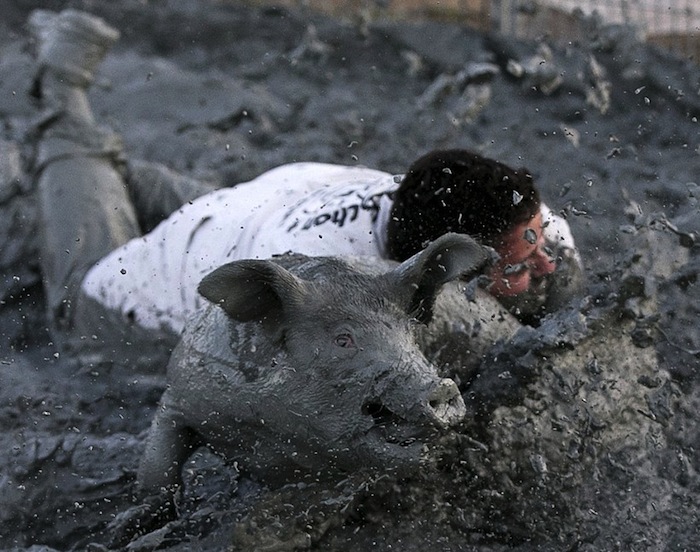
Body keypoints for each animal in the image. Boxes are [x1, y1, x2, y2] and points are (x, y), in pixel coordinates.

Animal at [137, 232, 486, 492]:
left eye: (410, 332)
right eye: (343, 339)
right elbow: (157, 471)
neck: (272, 427)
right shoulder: (181, 391)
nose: (441, 387)